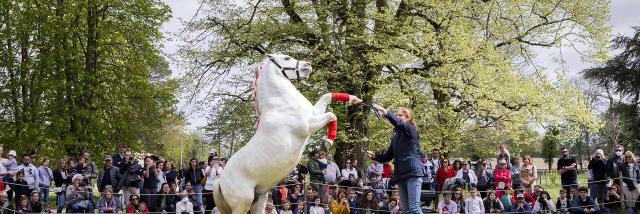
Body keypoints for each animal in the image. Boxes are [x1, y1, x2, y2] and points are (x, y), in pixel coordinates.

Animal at [212, 53, 358, 214]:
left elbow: (326, 97)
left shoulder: (313, 113)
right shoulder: (308, 125)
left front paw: (353, 99)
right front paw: (328, 141)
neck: (281, 103)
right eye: (287, 58)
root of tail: (221, 181)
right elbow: (332, 115)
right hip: (242, 203)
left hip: (258, 200)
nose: (308, 65)